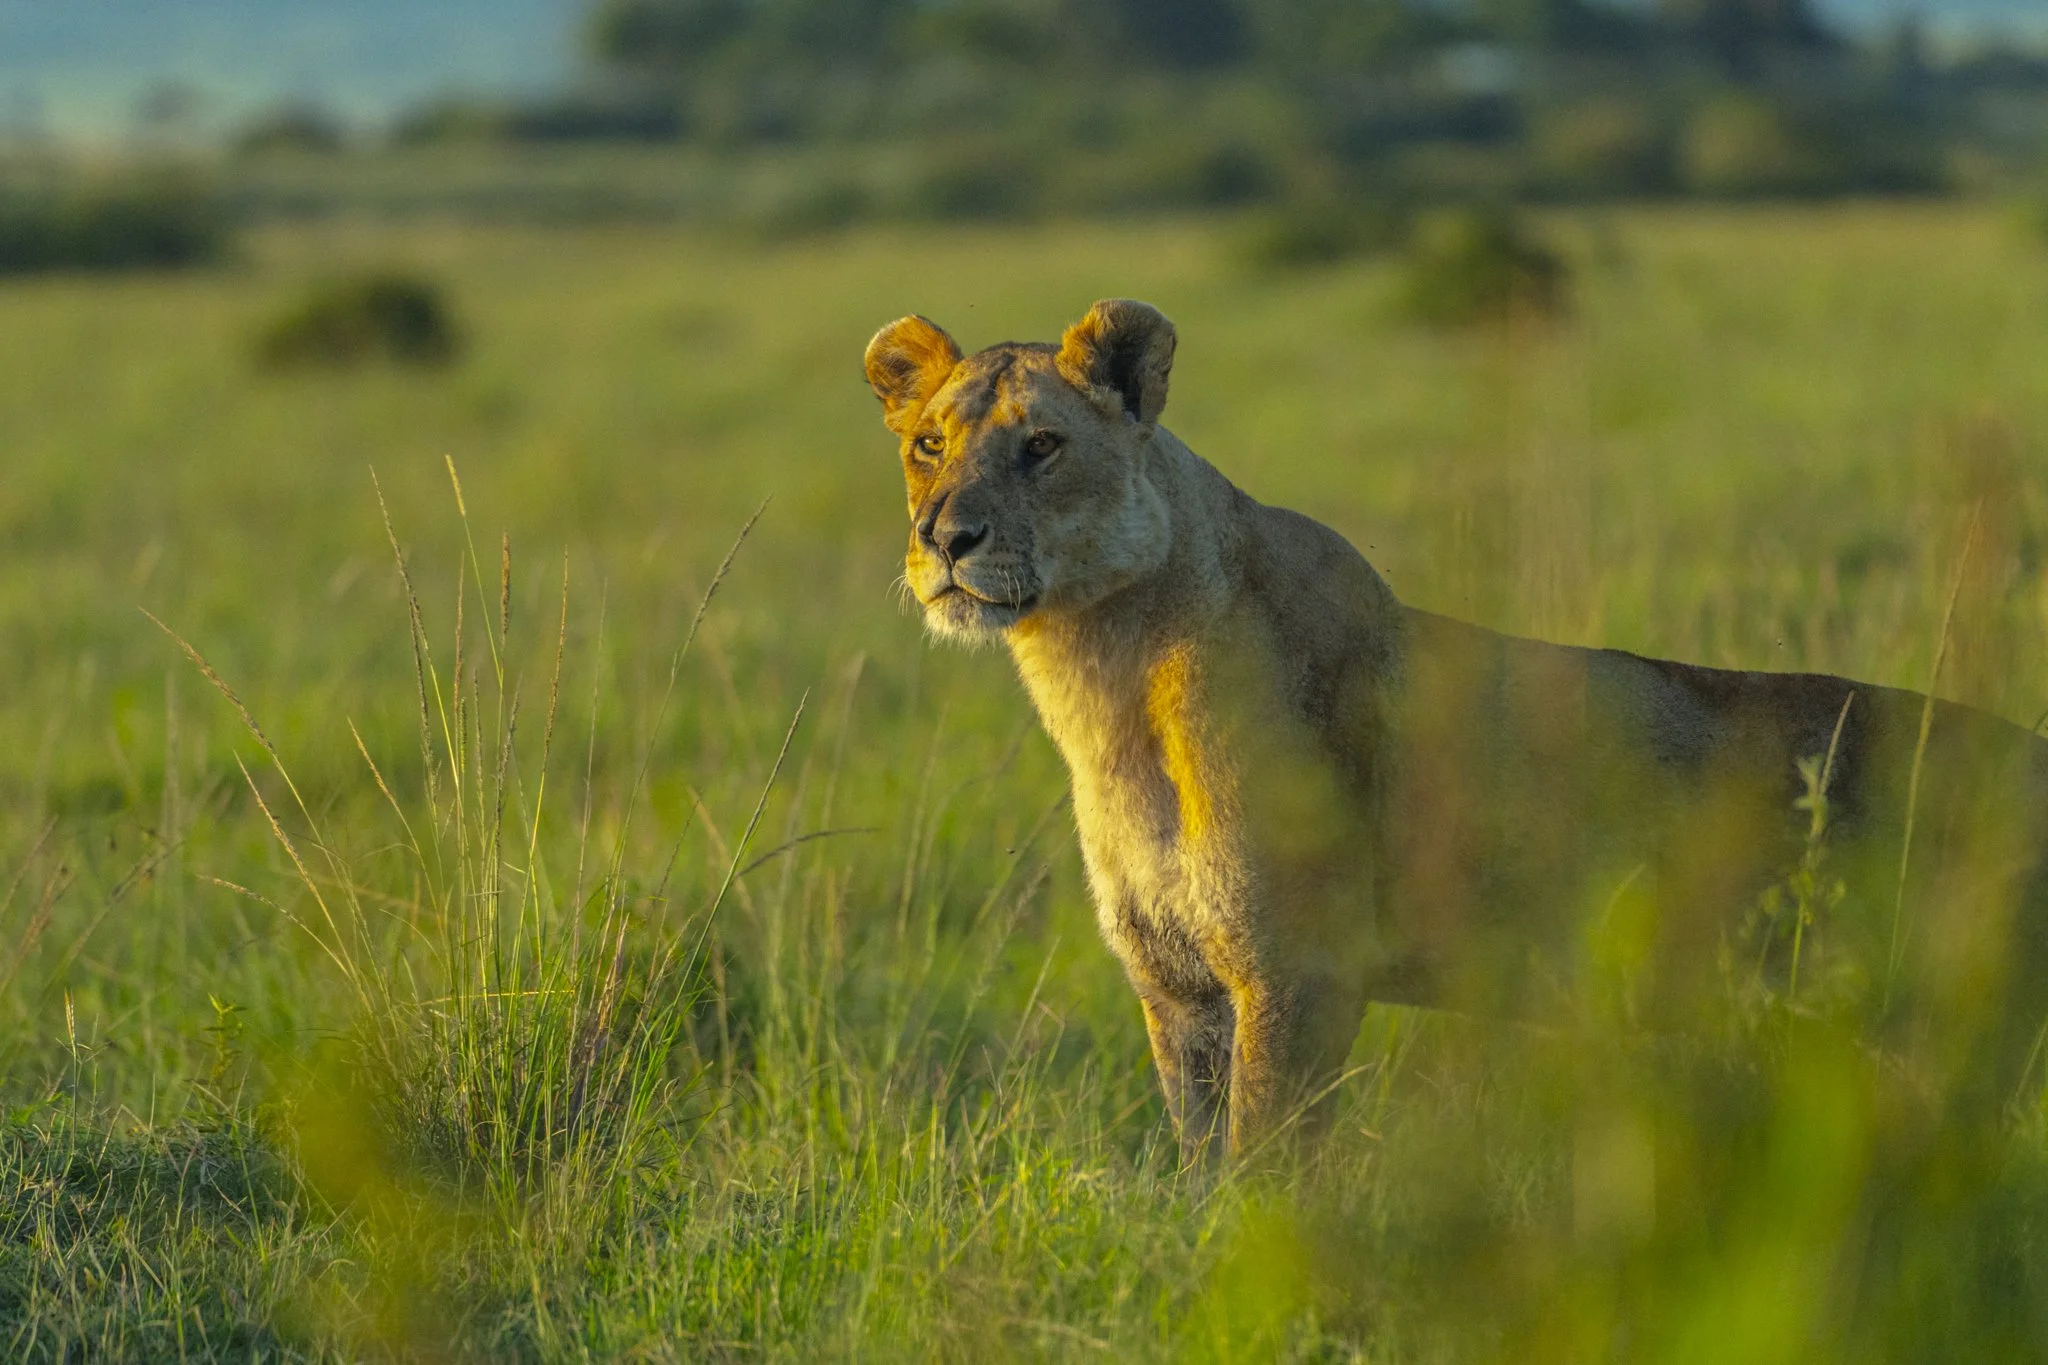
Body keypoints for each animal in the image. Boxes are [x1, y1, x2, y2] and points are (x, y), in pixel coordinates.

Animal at [863, 298, 2048, 1162]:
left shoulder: (1300, 972)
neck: (1099, 677)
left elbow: (1262, 1176)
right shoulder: (1178, 988)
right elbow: (1200, 1166)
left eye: (1042, 446)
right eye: (926, 444)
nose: (945, 538)